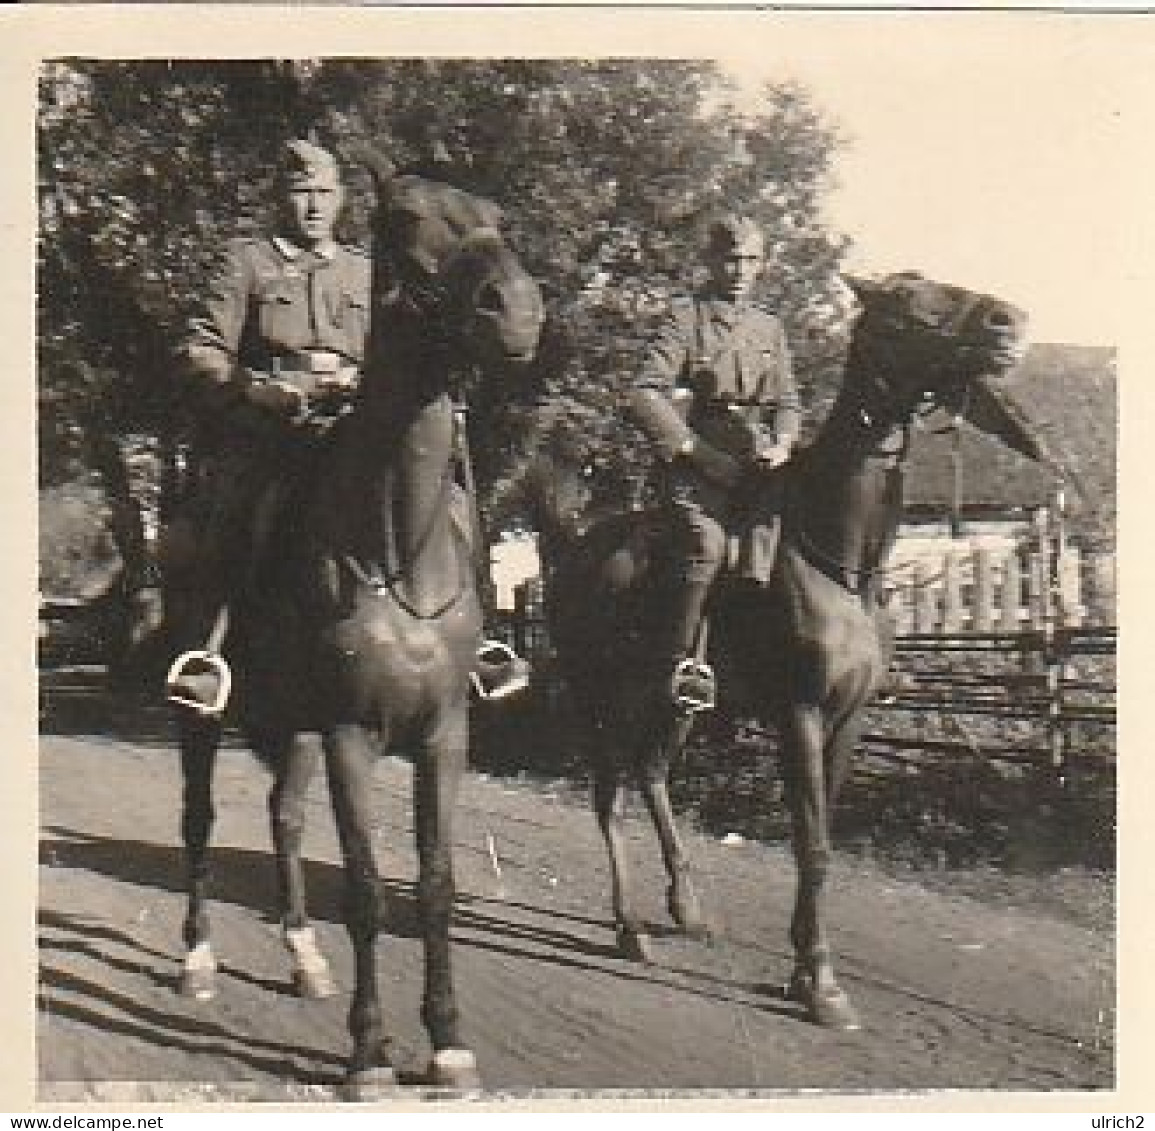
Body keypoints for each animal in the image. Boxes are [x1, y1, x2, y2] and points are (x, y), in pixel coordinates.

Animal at [166, 152, 545, 1095]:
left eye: (496, 216)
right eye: (404, 220)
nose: (517, 311)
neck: (396, 549)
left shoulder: (444, 733)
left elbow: (434, 884)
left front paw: (447, 1042)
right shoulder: (350, 731)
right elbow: (370, 888)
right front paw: (369, 1052)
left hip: (292, 726)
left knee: (284, 817)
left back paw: (304, 956)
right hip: (206, 717)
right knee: (199, 820)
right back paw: (196, 958)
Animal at [531, 271, 1048, 1035]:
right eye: (903, 304)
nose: (1005, 320)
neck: (842, 562)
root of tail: (575, 545)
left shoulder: (848, 720)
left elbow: (819, 832)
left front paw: (802, 969)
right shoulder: (799, 713)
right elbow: (814, 844)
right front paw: (822, 984)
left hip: (674, 705)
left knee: (652, 774)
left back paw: (686, 906)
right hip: (600, 700)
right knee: (609, 799)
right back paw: (629, 927)